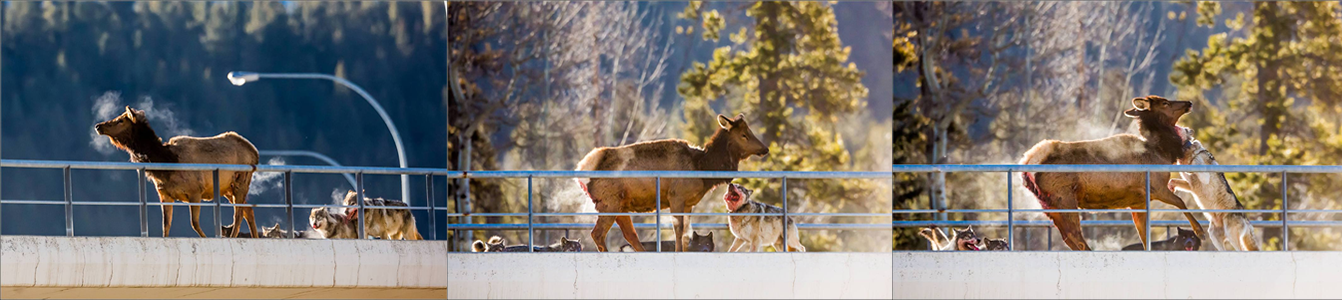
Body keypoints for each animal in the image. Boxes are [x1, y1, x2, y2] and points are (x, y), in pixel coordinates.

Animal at [95, 106, 261, 238]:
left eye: (121, 120)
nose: (98, 126)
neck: (166, 164)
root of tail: (255, 152)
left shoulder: (195, 191)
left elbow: (194, 223)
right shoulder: (165, 194)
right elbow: (166, 226)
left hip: (241, 181)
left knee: (238, 214)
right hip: (226, 188)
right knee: (248, 211)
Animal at [574, 113, 772, 251]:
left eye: (749, 131)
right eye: (744, 135)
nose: (765, 149)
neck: (702, 167)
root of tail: (582, 170)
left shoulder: (689, 203)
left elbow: (686, 234)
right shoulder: (676, 197)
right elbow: (678, 230)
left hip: (621, 206)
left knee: (630, 234)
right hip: (610, 202)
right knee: (598, 233)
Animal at [1014, 96, 1207, 250]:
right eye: (1165, 102)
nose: (1189, 103)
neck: (1162, 152)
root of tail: (1027, 164)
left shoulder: (1138, 202)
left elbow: (1145, 239)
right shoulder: (1156, 187)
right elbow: (1181, 202)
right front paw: (1200, 231)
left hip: (1050, 205)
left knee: (1069, 238)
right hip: (1064, 198)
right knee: (1075, 237)